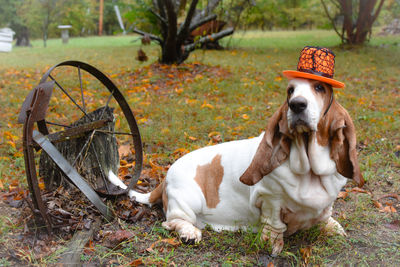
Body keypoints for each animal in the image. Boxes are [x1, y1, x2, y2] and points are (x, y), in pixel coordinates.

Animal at [123, 47, 364, 256]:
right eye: (291, 91)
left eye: (320, 88)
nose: (297, 105)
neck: (309, 170)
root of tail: (165, 177)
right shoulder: (270, 199)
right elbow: (274, 224)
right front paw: (272, 245)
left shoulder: (326, 202)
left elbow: (325, 215)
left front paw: (333, 227)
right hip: (187, 201)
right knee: (172, 221)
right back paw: (190, 233)